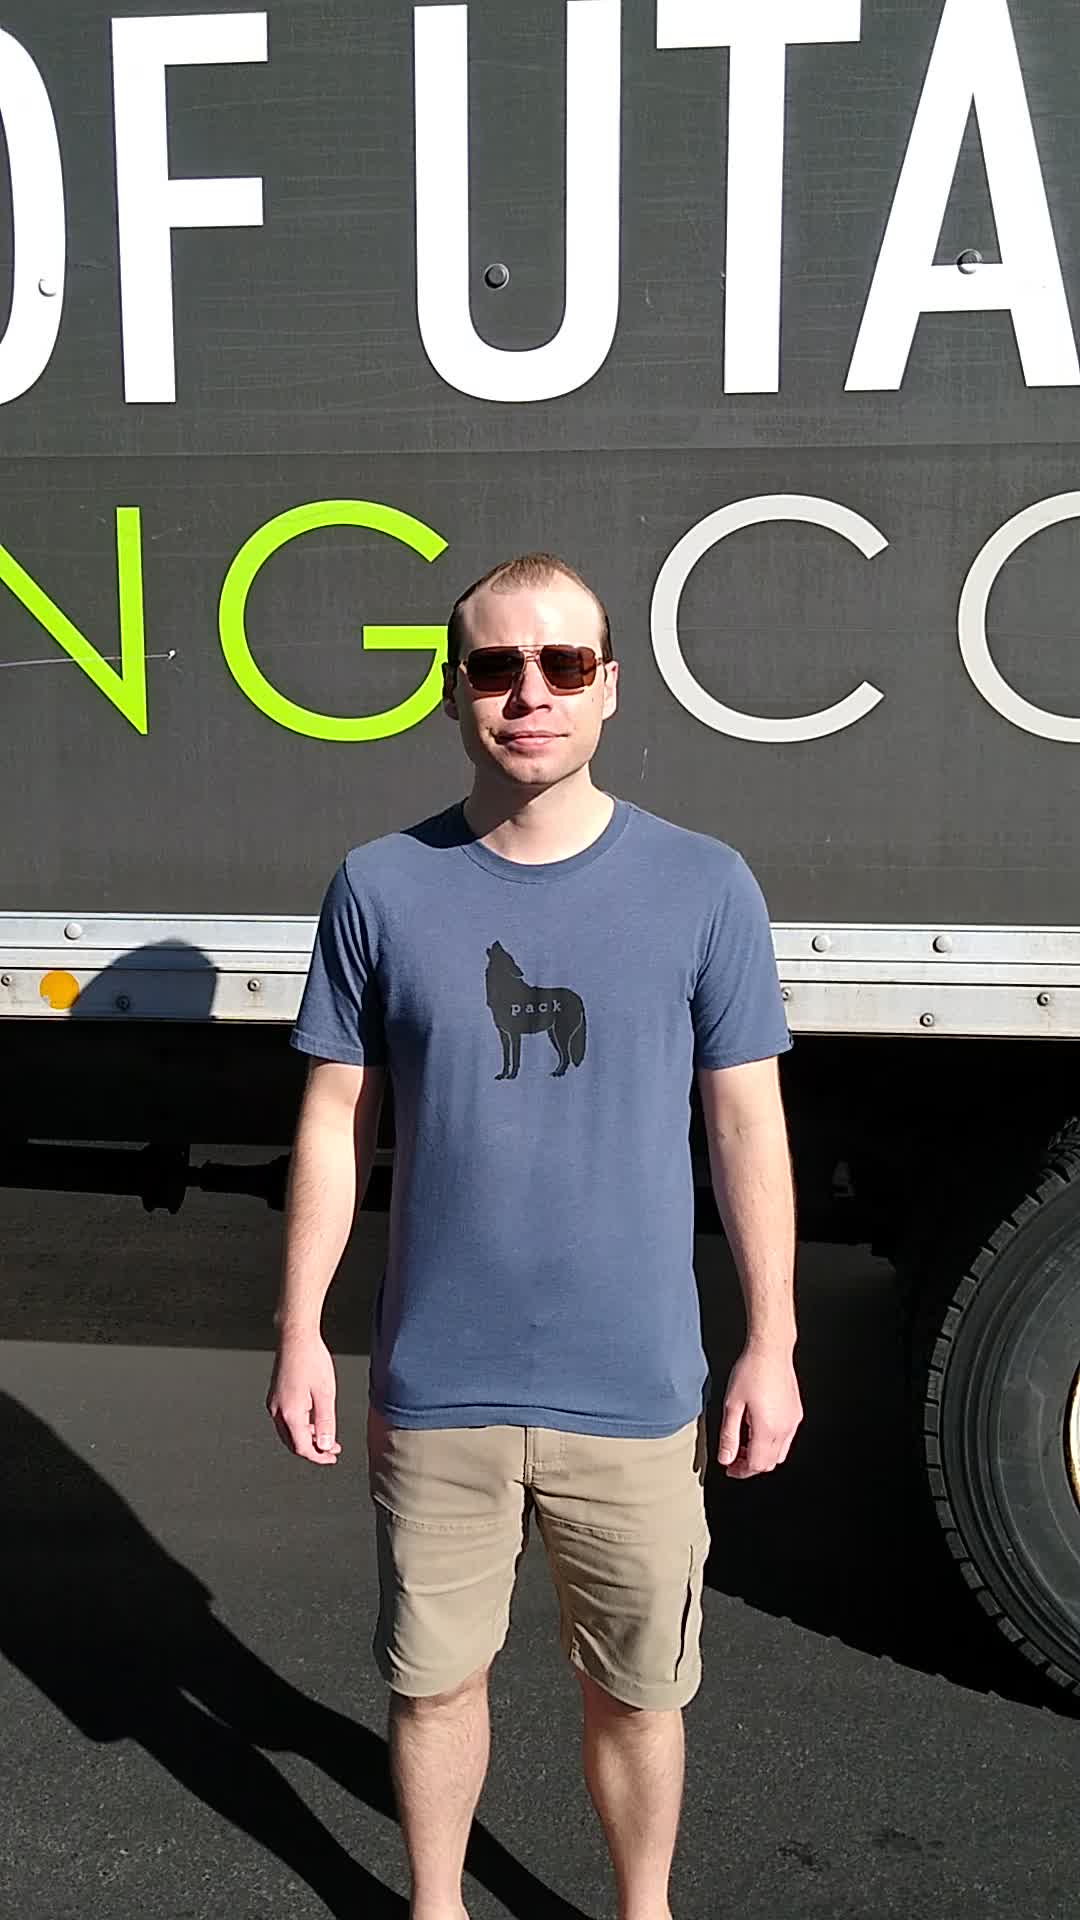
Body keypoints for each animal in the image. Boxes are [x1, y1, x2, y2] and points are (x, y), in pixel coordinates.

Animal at [484, 942, 587, 1080]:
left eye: (510, 958)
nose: (497, 941)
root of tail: (578, 997)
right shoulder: (504, 1035)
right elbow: (506, 1059)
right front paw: (503, 1075)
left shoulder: (515, 1034)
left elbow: (515, 1058)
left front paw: (512, 1076)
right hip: (553, 1035)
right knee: (563, 1056)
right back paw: (556, 1072)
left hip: (560, 1035)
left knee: (566, 1057)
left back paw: (559, 1074)